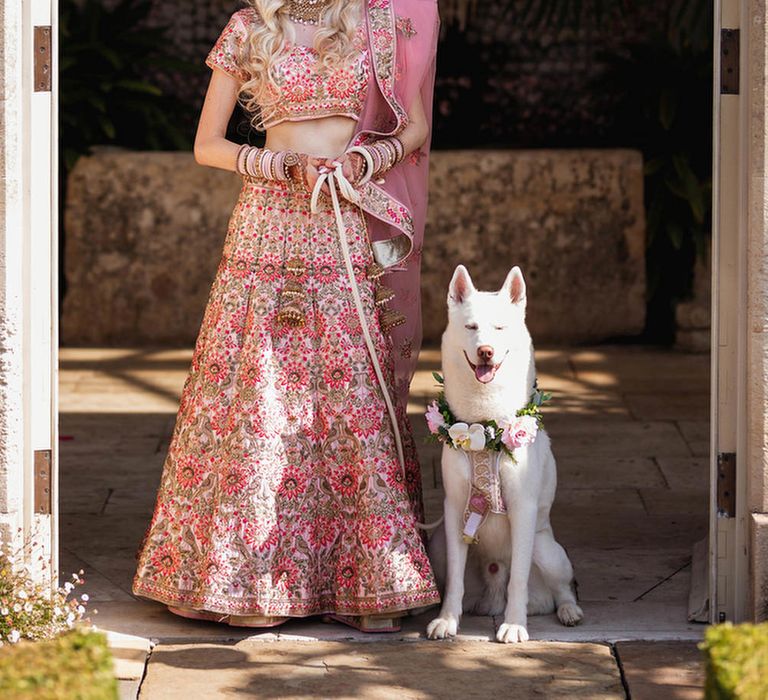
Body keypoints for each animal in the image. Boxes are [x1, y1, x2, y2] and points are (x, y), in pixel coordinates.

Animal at [426, 266, 584, 644]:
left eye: (499, 328)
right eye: (471, 327)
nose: (485, 351)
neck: (485, 428)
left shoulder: (523, 509)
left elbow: (519, 581)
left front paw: (514, 625)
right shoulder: (456, 509)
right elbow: (454, 582)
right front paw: (447, 620)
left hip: (546, 549)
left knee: (561, 588)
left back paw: (567, 611)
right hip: (438, 543)